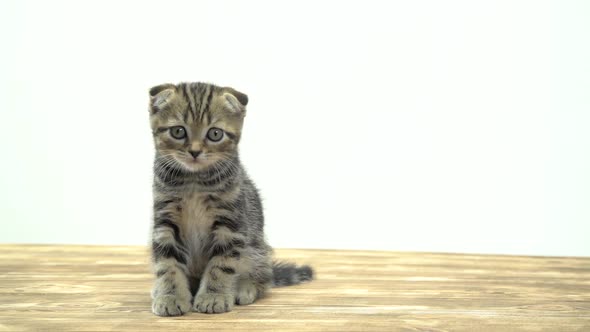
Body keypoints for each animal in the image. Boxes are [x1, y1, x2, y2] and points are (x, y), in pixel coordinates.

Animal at [148, 81, 314, 316]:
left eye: (215, 134)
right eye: (178, 131)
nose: (195, 151)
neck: (194, 181)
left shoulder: (230, 223)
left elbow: (221, 264)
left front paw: (213, 296)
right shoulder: (165, 220)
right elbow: (167, 264)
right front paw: (170, 297)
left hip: (257, 249)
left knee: (265, 278)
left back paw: (244, 288)